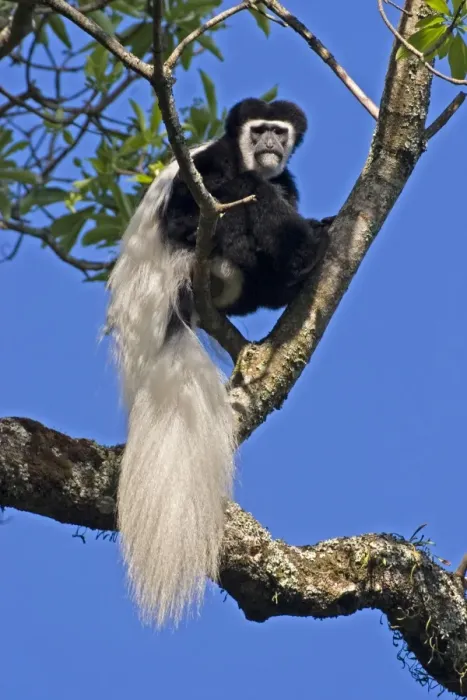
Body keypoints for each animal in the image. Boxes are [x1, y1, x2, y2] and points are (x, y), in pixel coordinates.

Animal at [107, 97, 332, 628]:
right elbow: (211, 198)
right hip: (199, 246)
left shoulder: (286, 175)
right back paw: (305, 251)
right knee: (240, 199)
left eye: (279, 132)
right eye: (259, 130)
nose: (270, 144)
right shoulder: (212, 164)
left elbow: (281, 185)